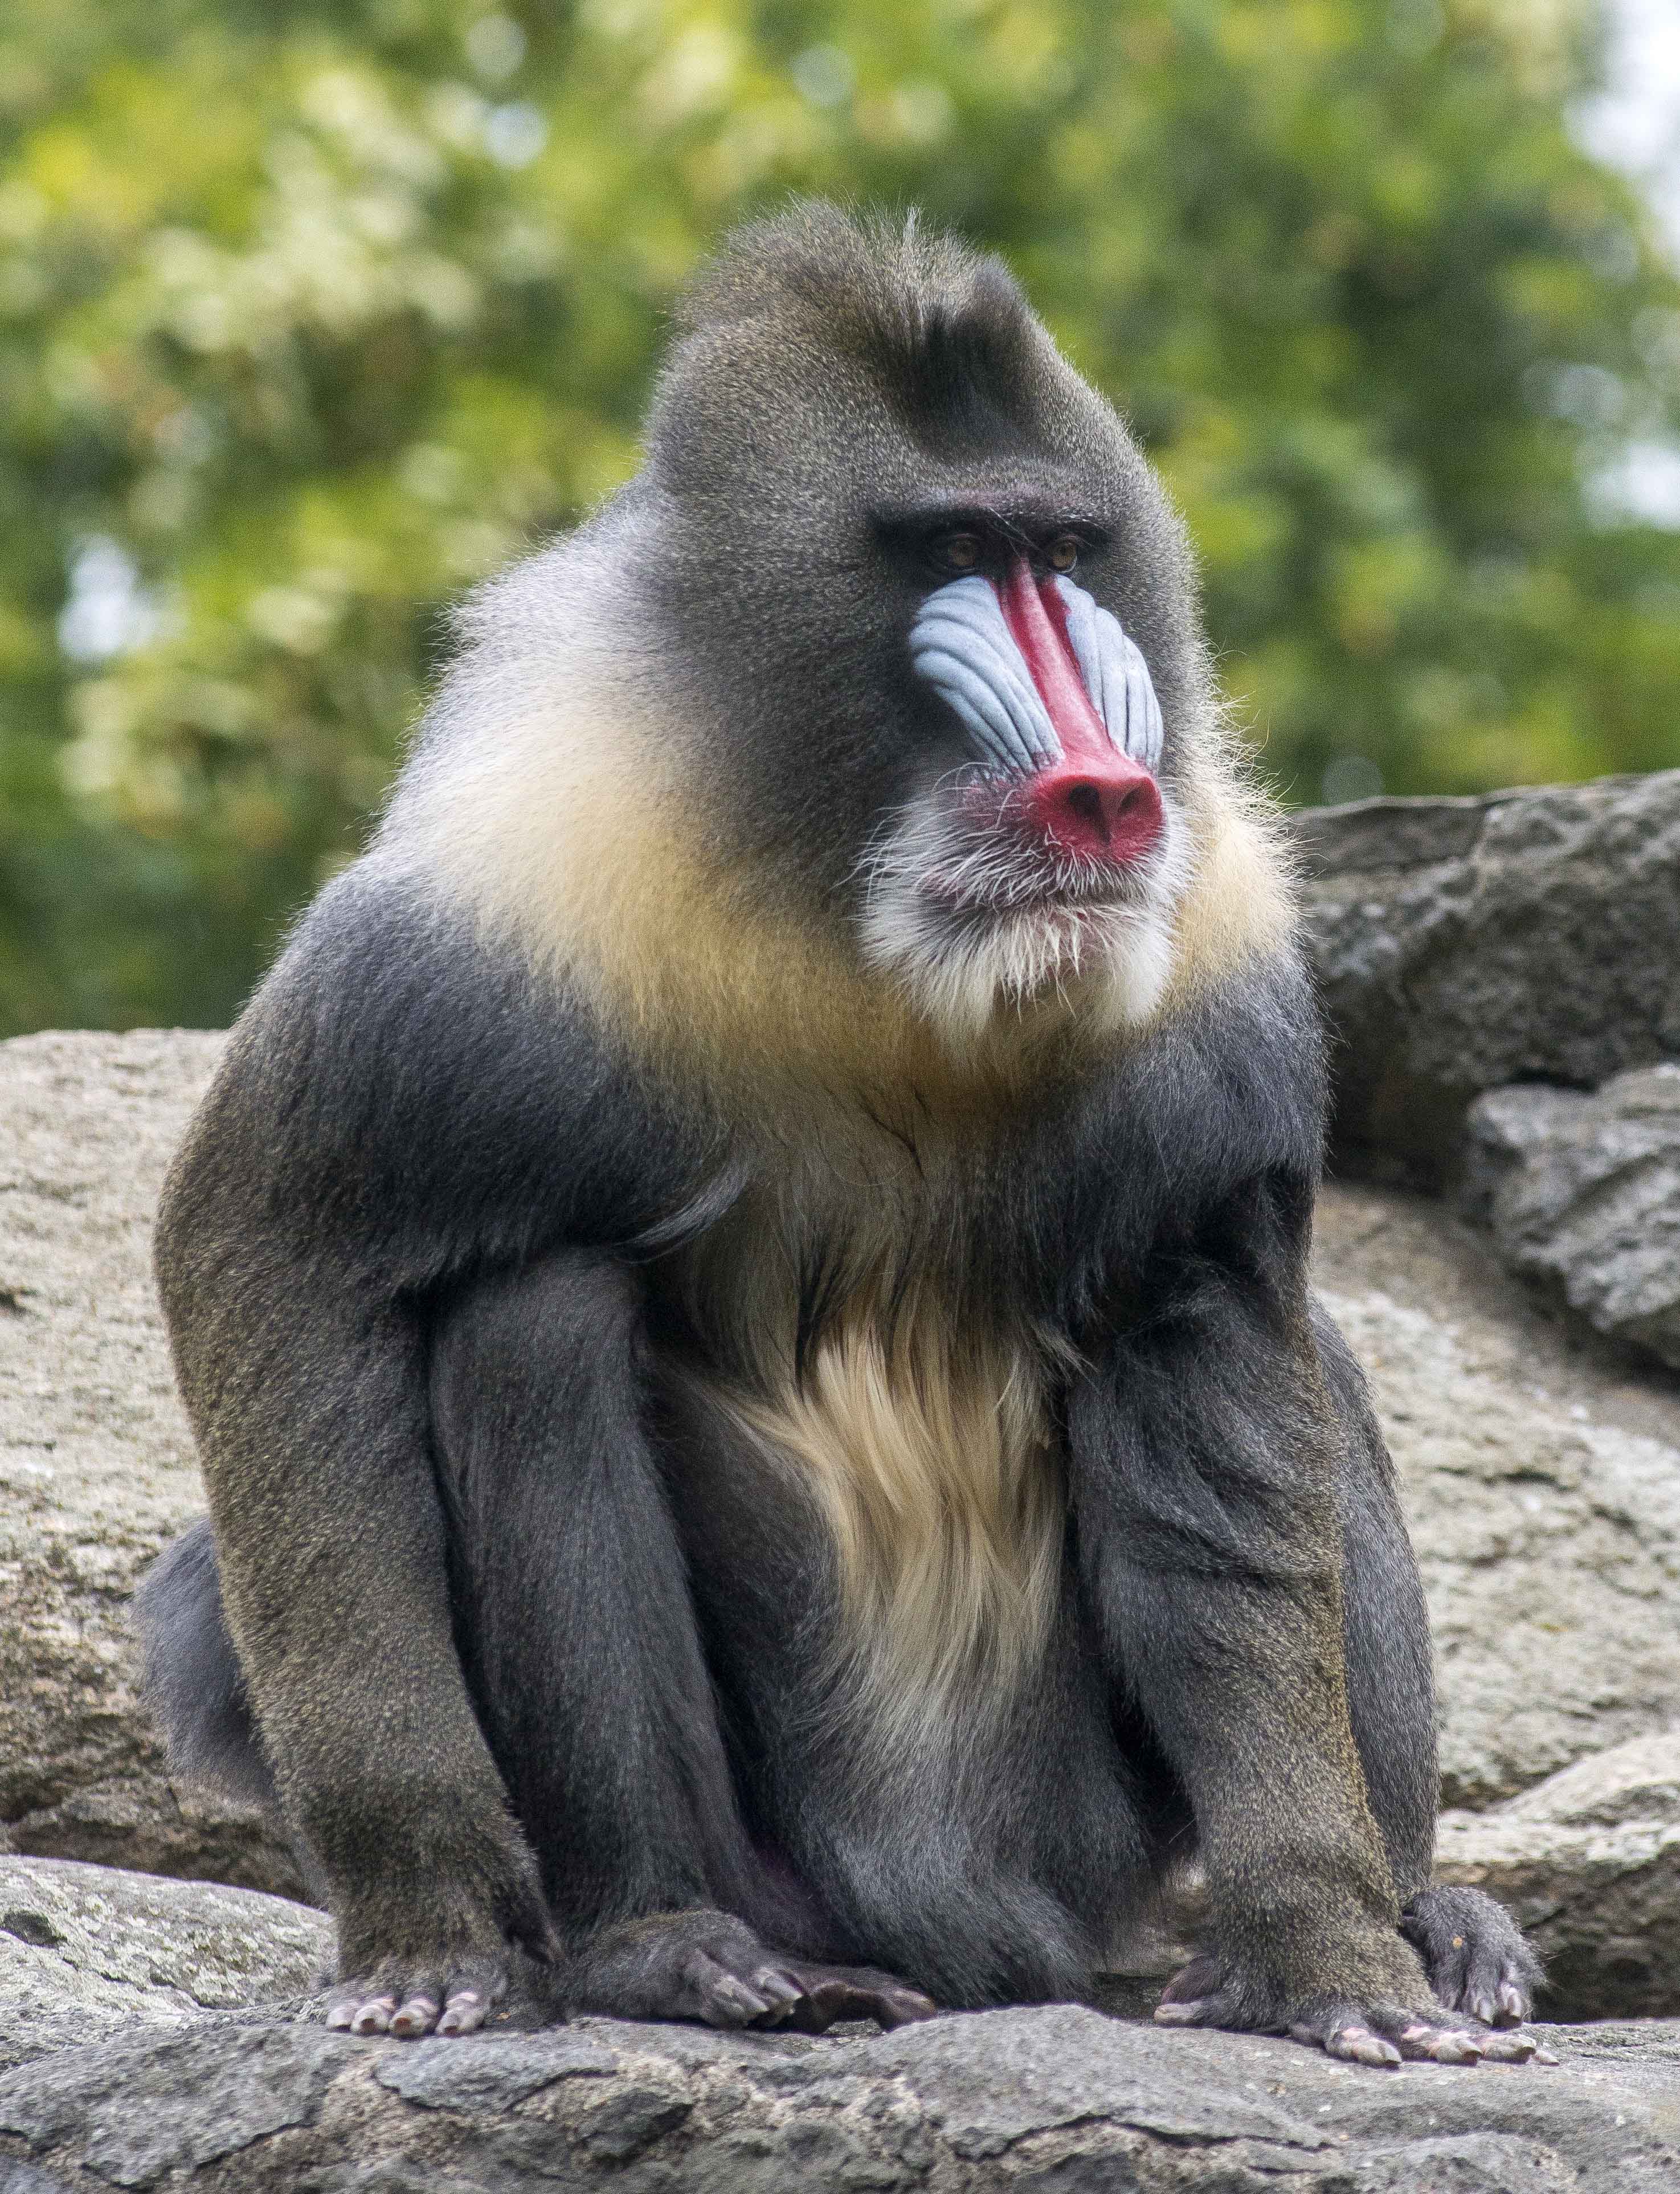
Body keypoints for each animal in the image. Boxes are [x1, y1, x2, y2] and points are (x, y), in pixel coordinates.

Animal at [138, 202, 1544, 2053]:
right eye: (949, 544)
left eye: (1061, 550)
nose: (1105, 785)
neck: (872, 941)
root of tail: (965, 1923)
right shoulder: (486, 912)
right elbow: (270, 1259)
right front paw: (426, 1922)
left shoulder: (1215, 1001)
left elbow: (1233, 1417)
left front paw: (1321, 1949)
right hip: (793, 1844)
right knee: (530, 1317)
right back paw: (679, 1946)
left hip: (1080, 1830)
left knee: (1326, 1360)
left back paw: (1429, 1921)